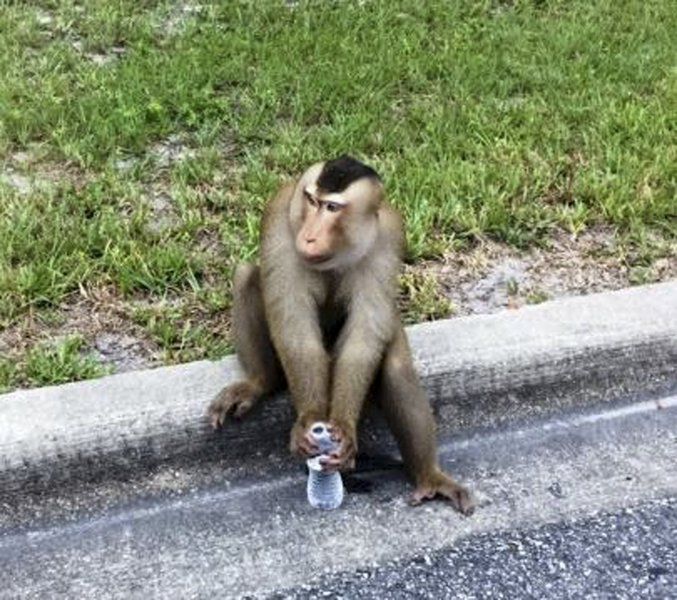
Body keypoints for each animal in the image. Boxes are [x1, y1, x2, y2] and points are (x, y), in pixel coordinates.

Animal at [208, 155, 474, 514]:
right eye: (311, 201)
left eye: (332, 207)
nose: (308, 236)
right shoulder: (279, 220)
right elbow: (296, 328)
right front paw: (309, 420)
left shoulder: (389, 235)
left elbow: (365, 334)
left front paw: (345, 429)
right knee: (248, 275)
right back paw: (260, 381)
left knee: (394, 361)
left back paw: (428, 476)